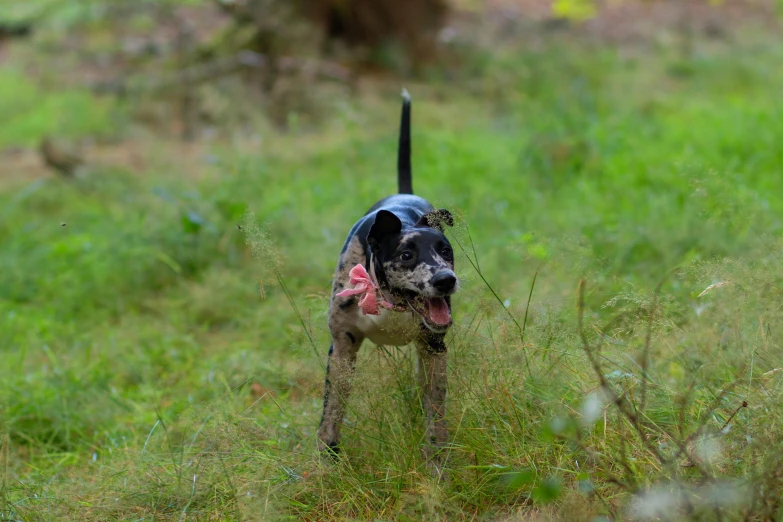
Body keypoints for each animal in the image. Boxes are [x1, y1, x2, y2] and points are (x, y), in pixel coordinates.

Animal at [316, 88, 456, 464]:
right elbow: (332, 413)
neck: (390, 302)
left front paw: (436, 461)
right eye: (406, 255)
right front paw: (326, 460)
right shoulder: (342, 348)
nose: (446, 280)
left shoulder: (434, 347)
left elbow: (436, 413)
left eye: (446, 252)